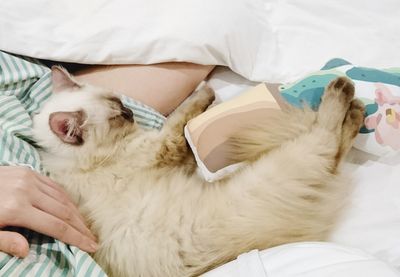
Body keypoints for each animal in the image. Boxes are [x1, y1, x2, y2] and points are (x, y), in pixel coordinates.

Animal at [33, 67, 366, 276]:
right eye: (116, 117)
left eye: (119, 103)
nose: (129, 112)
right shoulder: (163, 146)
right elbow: (184, 115)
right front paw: (206, 91)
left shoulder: (173, 154)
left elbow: (184, 130)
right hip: (291, 163)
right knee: (327, 137)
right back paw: (343, 91)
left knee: (337, 146)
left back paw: (357, 108)